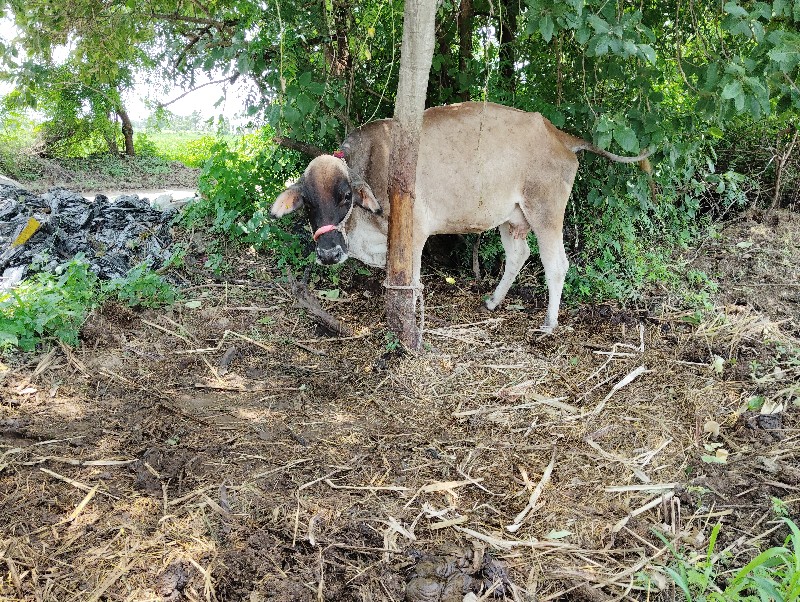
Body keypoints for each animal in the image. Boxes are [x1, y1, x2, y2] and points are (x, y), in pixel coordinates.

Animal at [270, 101, 648, 330]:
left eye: (346, 196)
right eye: (307, 204)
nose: (328, 252)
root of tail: (557, 134)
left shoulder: (414, 233)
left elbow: (410, 281)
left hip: (545, 211)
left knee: (556, 264)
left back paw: (549, 323)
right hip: (511, 217)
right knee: (519, 255)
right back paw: (494, 301)